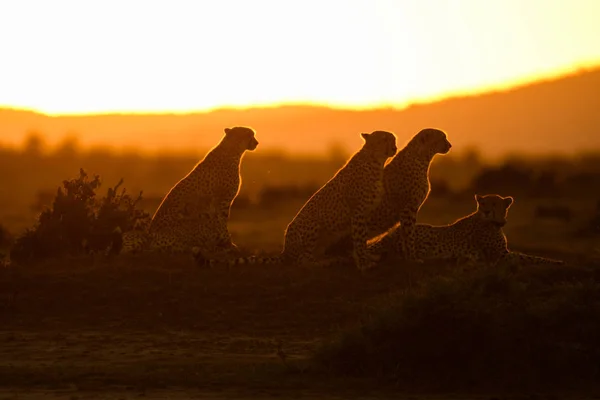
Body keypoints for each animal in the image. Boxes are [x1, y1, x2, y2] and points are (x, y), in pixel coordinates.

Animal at [120, 125, 258, 258]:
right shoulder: (223, 200)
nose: (257, 142)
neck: (233, 150)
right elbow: (222, 222)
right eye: (250, 135)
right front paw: (228, 243)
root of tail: (151, 234)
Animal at [196, 131, 398, 272]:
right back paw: (323, 262)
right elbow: (359, 239)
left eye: (393, 139)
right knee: (302, 261)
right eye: (384, 139)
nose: (395, 147)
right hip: (312, 224)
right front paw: (364, 263)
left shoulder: (366, 213)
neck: (376, 161)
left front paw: (368, 257)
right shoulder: (357, 212)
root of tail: (285, 250)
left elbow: (362, 238)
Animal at [328, 128, 450, 262]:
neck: (422, 158)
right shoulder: (408, 208)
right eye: (443, 137)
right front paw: (412, 257)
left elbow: (405, 235)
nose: (450, 145)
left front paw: (407, 256)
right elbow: (409, 234)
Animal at [368, 192, 564, 268]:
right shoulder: (500, 255)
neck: (492, 222)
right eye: (483, 203)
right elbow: (529, 257)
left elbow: (529, 256)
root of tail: (389, 235)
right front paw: (557, 262)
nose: (486, 211)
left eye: (494, 204)